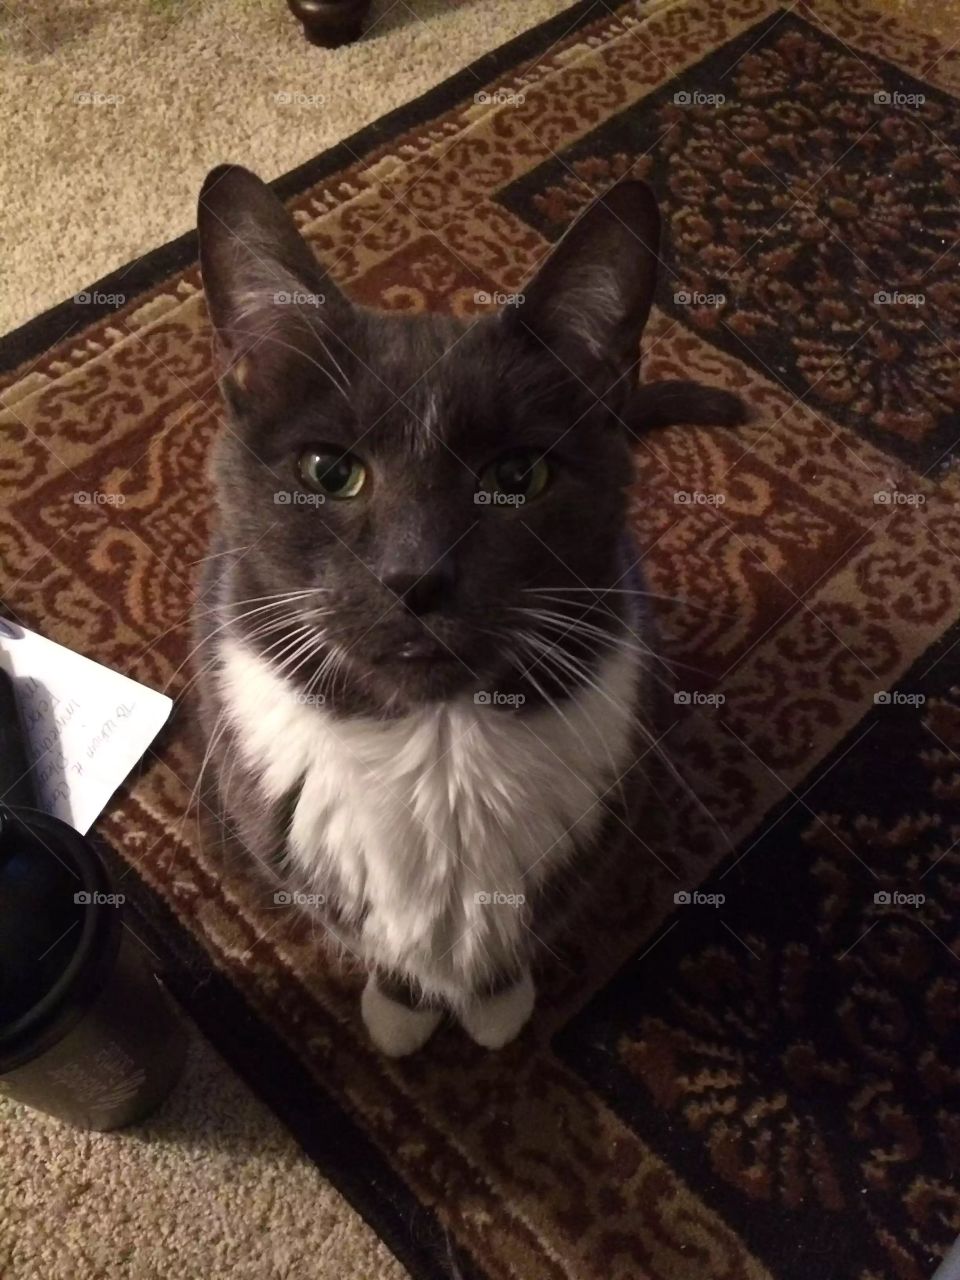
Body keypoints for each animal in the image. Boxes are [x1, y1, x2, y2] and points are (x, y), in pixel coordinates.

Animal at [189, 165, 742, 1054]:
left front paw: (494, 1005)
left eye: (518, 476)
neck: (436, 749)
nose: (416, 575)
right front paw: (399, 1011)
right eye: (329, 471)